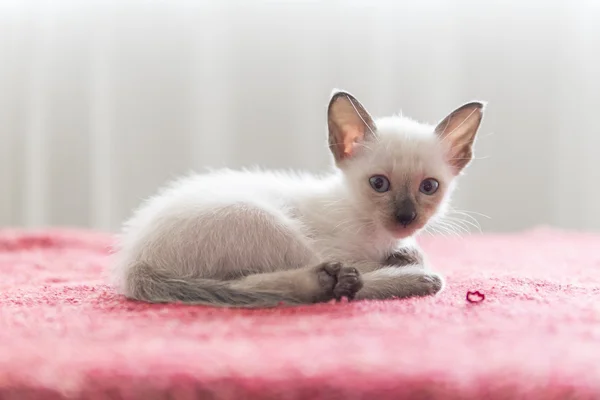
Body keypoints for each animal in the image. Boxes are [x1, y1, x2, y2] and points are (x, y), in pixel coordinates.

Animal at [111, 89, 482, 308]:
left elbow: (408, 249)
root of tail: (135, 261)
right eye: (379, 183)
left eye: (429, 187)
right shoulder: (339, 249)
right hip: (266, 221)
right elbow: (387, 261)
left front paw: (404, 252)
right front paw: (406, 263)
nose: (405, 217)